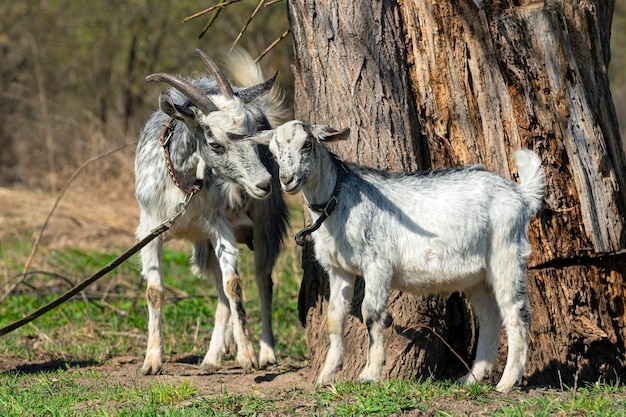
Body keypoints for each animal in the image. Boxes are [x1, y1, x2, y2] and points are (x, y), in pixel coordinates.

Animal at [135, 48, 288, 374]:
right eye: (215, 143)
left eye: (252, 133)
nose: (264, 183)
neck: (183, 184)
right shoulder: (149, 230)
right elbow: (155, 292)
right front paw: (152, 361)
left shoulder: (220, 226)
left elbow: (235, 285)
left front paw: (248, 356)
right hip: (203, 248)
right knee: (218, 290)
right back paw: (212, 357)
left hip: (265, 224)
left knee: (262, 279)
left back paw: (267, 353)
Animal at [251, 118, 544, 392]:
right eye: (274, 153)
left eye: (308, 144)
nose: (287, 179)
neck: (338, 200)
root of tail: (521, 195)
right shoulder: (339, 269)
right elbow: (334, 317)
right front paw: (325, 377)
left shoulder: (377, 263)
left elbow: (370, 312)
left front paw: (370, 374)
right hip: (478, 275)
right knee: (490, 316)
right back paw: (471, 378)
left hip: (506, 252)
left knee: (516, 312)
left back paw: (507, 382)